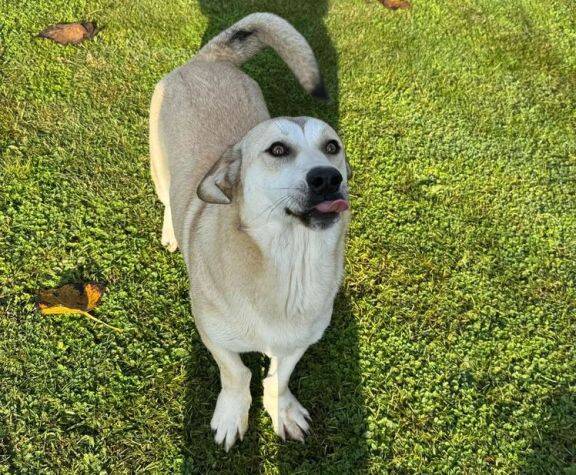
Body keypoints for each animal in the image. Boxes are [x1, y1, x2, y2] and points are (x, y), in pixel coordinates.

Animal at [149, 13, 351, 451]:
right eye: (277, 150)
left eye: (332, 147)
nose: (328, 179)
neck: (290, 262)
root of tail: (209, 59)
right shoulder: (213, 336)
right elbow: (237, 375)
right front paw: (231, 415)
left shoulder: (297, 343)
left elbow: (279, 378)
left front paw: (283, 411)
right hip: (157, 166)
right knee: (167, 198)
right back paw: (171, 231)